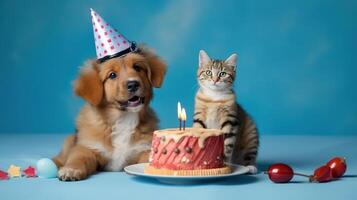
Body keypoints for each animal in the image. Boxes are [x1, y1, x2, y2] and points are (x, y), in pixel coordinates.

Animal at [52, 45, 167, 181]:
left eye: (137, 67)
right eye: (112, 75)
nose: (133, 84)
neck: (123, 118)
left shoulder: (145, 149)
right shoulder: (86, 147)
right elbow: (78, 158)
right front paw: (71, 170)